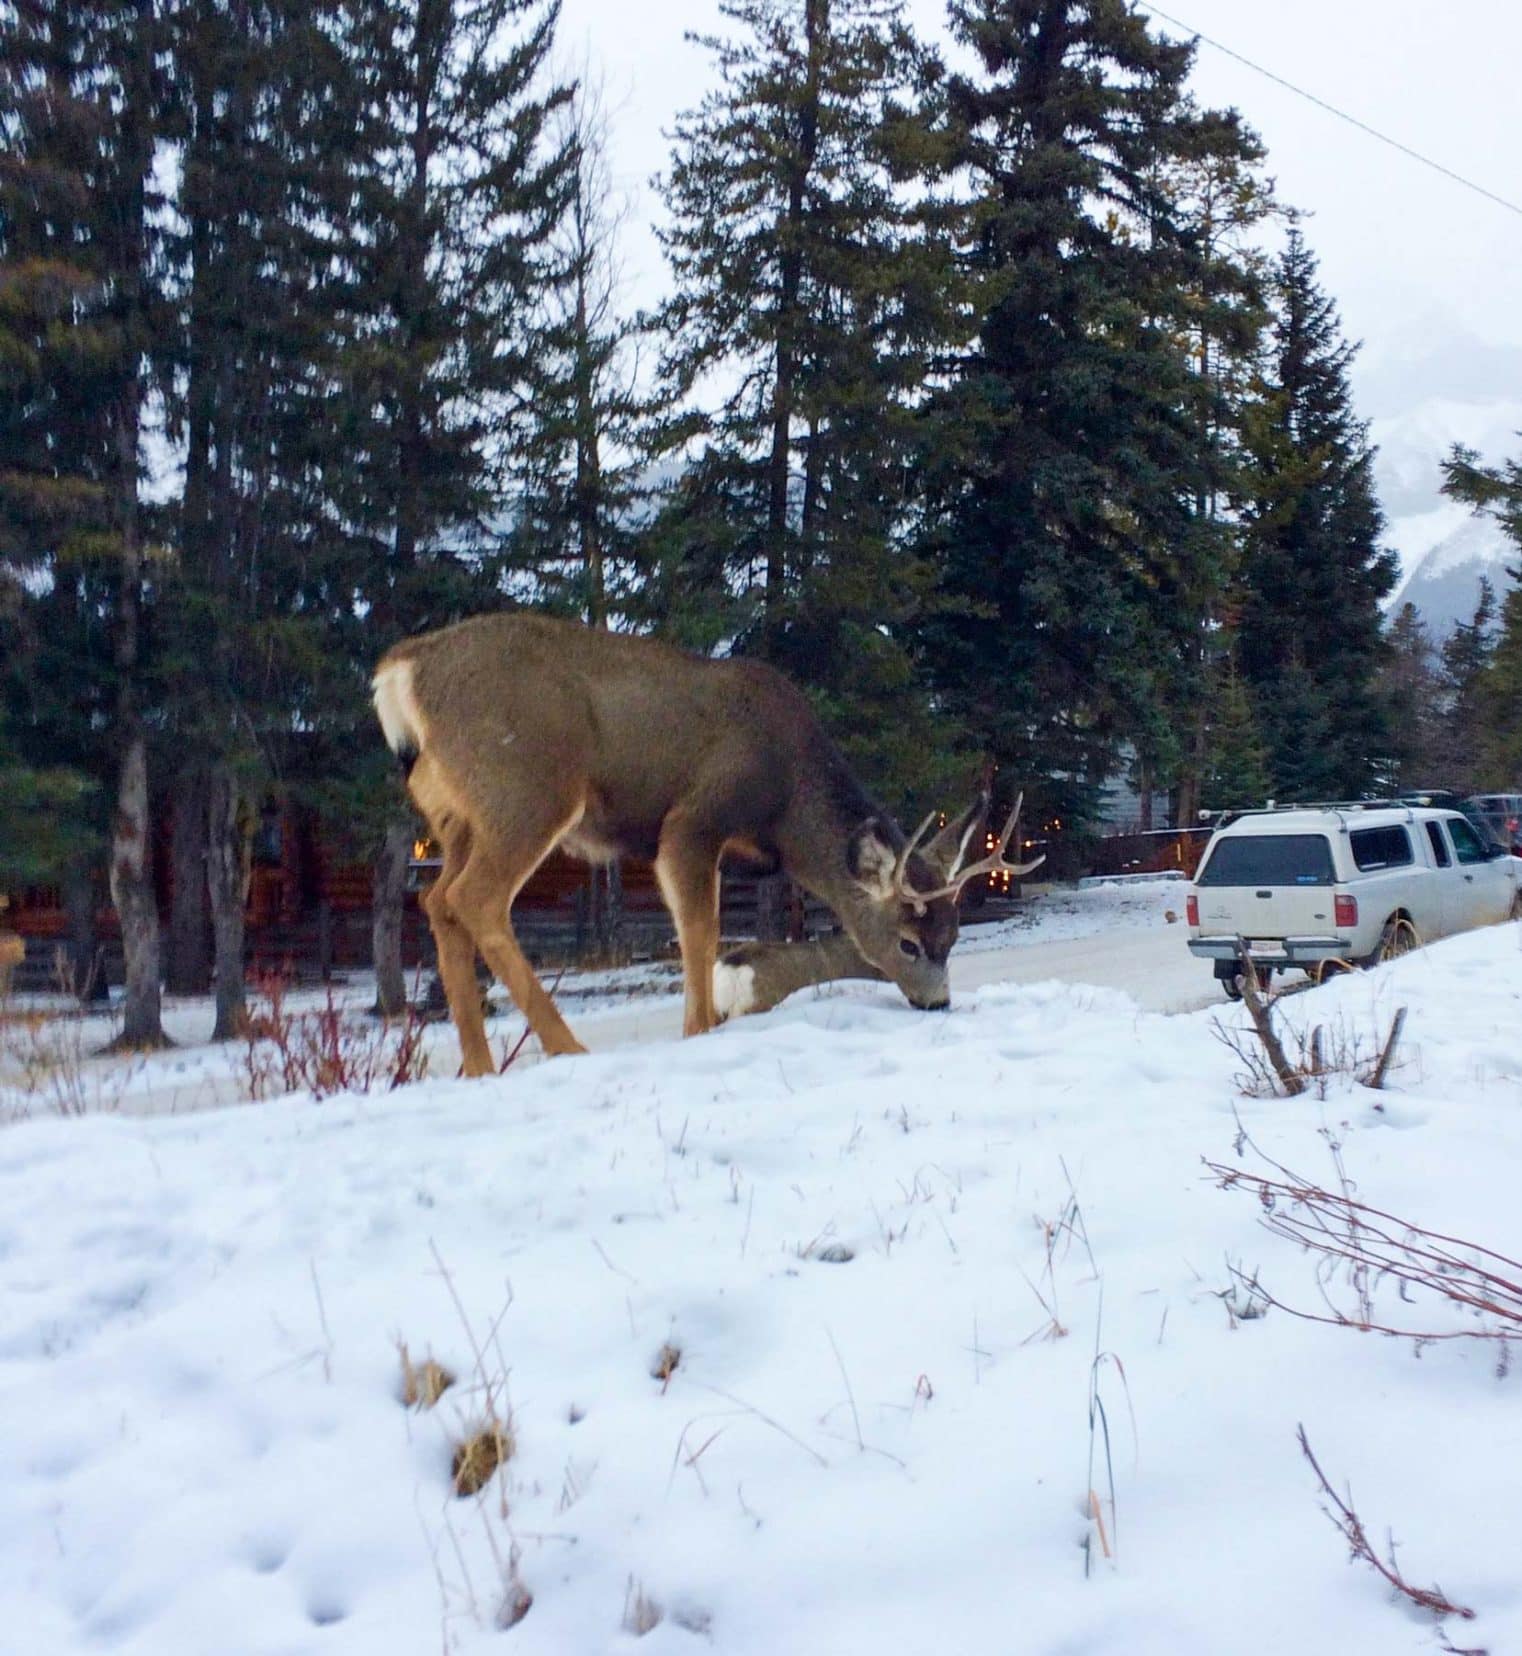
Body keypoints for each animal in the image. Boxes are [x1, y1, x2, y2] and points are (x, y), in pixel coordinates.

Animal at [370, 609, 1040, 1073]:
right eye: (907, 943)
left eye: (953, 938)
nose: (937, 1004)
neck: (785, 801)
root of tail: (402, 671)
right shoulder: (692, 820)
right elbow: (700, 930)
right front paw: (699, 1031)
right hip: (527, 789)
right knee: (475, 898)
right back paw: (567, 1047)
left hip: (454, 812)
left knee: (437, 901)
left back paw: (480, 1068)